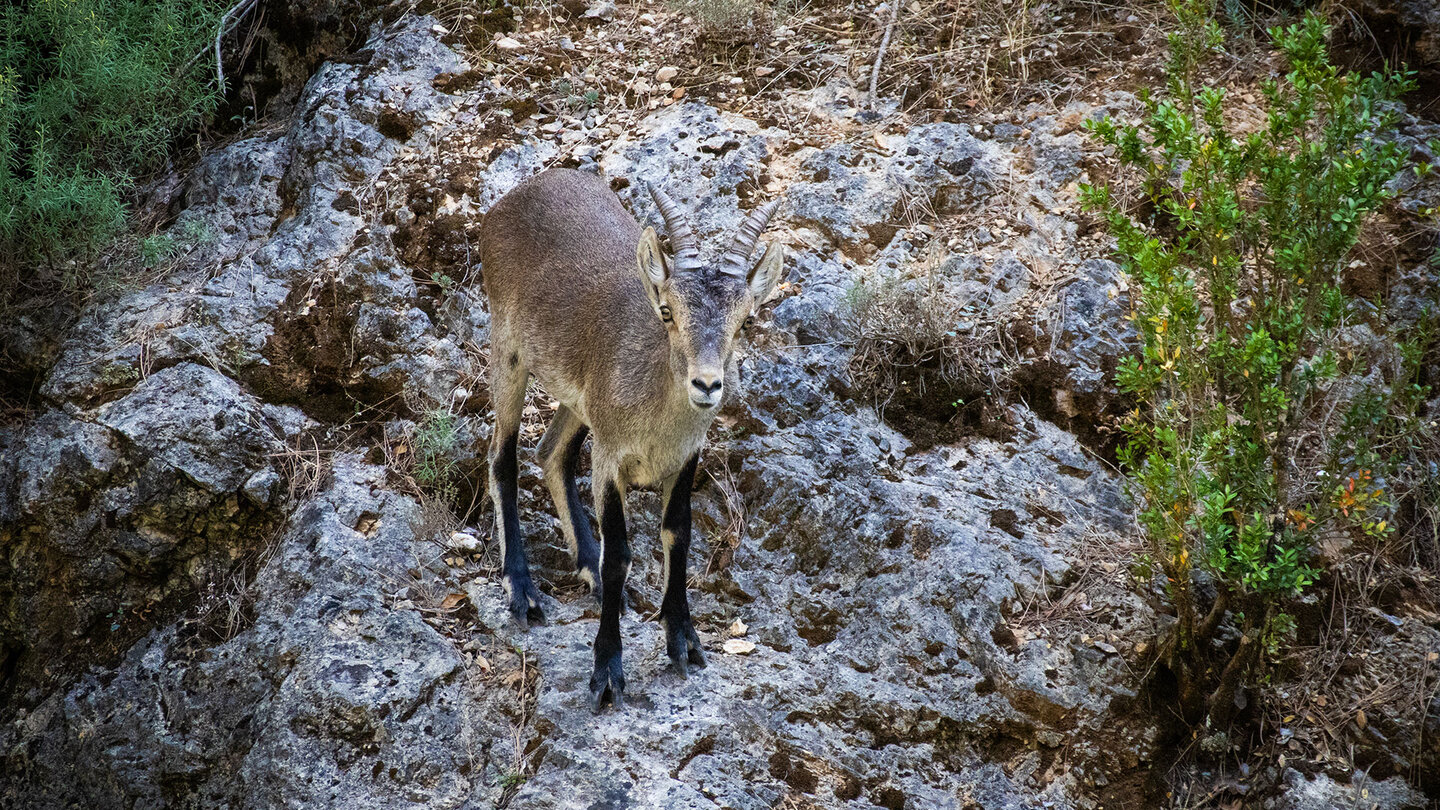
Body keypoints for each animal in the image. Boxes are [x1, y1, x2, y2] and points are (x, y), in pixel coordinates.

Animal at [478, 168, 783, 706]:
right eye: (667, 312)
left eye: (745, 319)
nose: (707, 385)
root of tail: (511, 200)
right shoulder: (610, 458)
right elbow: (621, 551)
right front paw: (606, 673)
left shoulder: (685, 459)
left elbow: (677, 534)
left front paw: (684, 642)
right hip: (508, 350)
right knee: (503, 455)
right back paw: (523, 589)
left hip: (580, 400)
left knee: (551, 452)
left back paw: (590, 570)